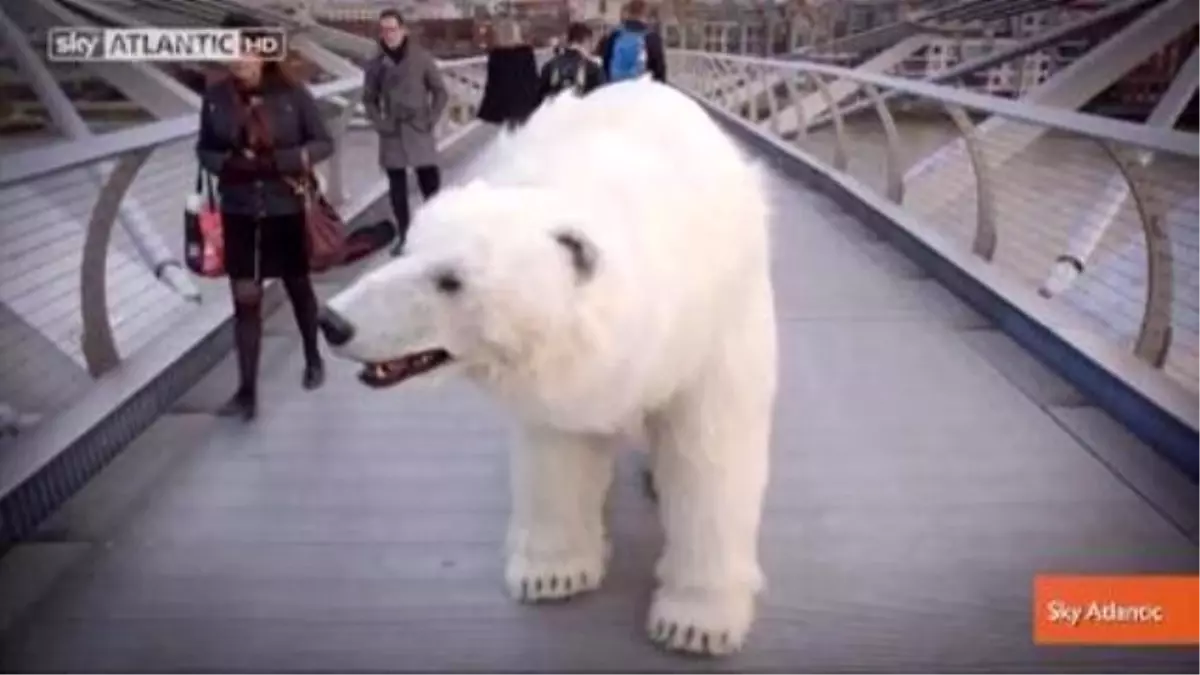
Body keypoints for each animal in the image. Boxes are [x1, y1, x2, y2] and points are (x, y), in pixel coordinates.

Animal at [319, 78, 777, 653]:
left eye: (451, 280)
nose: (332, 321)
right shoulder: (557, 381)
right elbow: (557, 455)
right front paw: (553, 573)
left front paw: (694, 623)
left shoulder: (717, 330)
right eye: (405, 249)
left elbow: (710, 455)